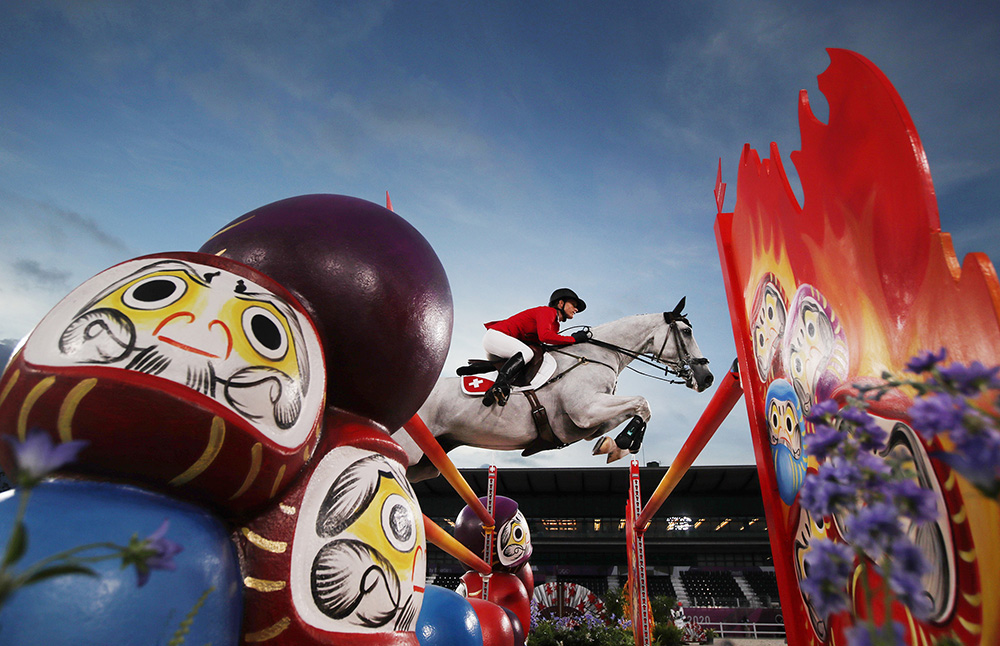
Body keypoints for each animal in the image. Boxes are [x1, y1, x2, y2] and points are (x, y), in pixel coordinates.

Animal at [394, 298, 716, 480]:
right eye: (686, 332)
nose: (707, 377)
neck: (601, 353)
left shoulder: (586, 423)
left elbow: (630, 414)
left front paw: (614, 446)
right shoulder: (586, 409)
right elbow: (643, 402)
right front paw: (625, 442)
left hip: (426, 462)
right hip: (408, 449)